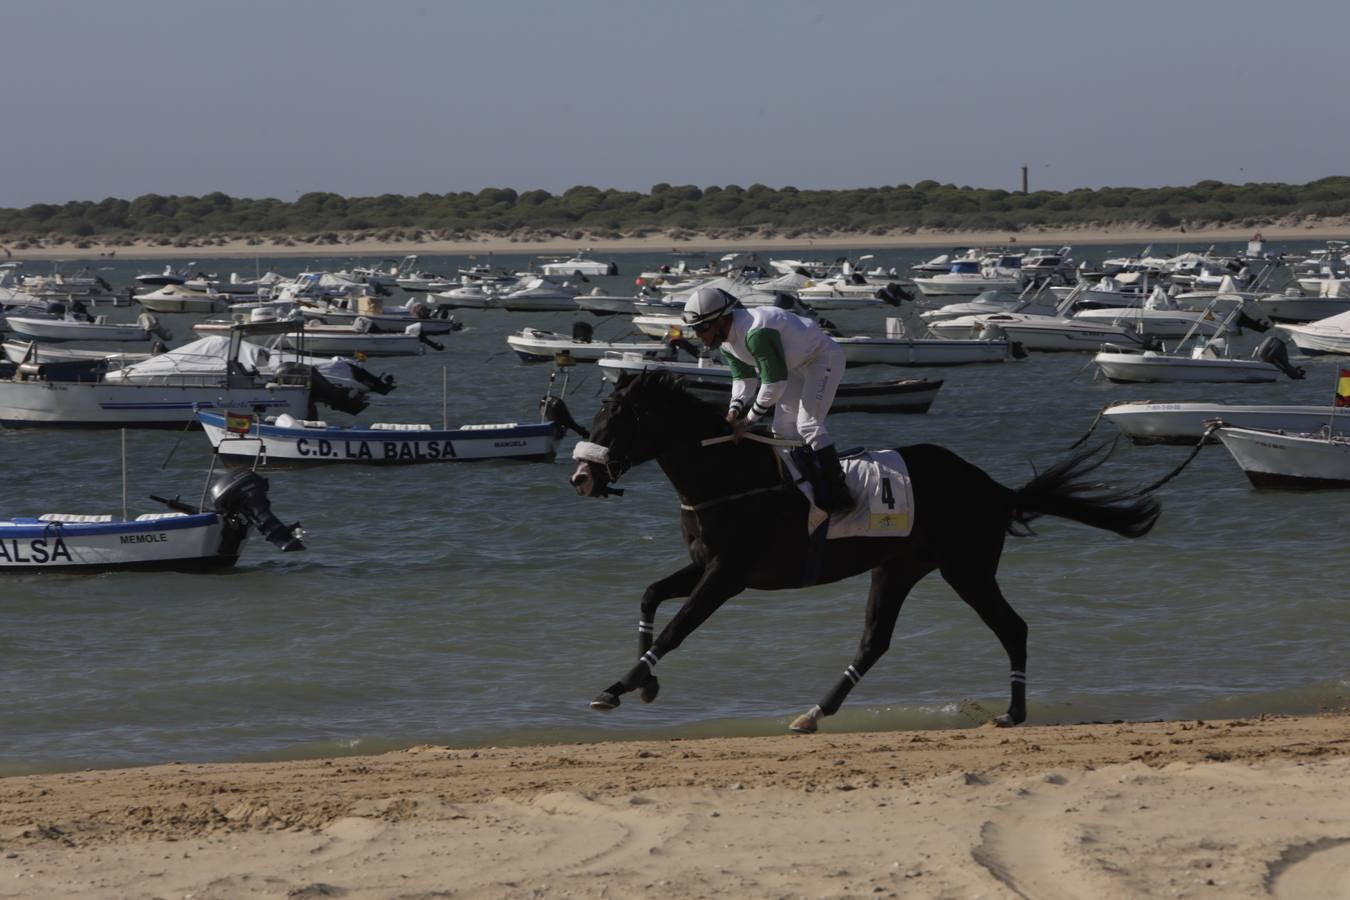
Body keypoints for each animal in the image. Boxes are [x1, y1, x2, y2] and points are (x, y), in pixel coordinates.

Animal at [569, 372, 1161, 734]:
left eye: (616, 419)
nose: (582, 477)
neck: (731, 477)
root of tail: (992, 487)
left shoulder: (727, 576)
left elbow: (675, 630)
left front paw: (619, 687)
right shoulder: (703, 565)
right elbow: (650, 596)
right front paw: (644, 684)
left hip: (966, 568)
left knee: (1012, 628)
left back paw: (1012, 714)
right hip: (897, 568)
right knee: (876, 640)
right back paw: (814, 712)